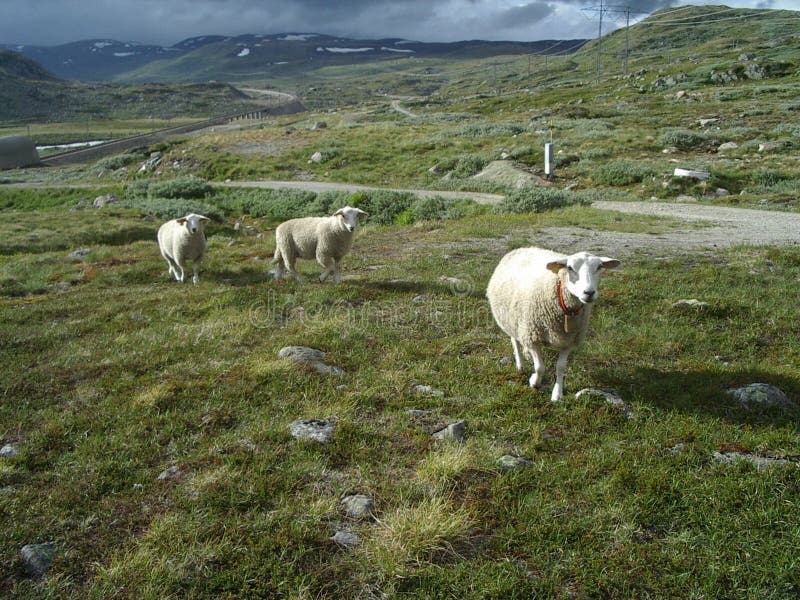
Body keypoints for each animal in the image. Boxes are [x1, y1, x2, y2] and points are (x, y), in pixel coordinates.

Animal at [484, 246, 620, 406]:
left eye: (599, 267)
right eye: (569, 268)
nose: (589, 293)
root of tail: (523, 247)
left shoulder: (568, 341)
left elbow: (560, 368)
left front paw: (557, 393)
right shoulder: (532, 336)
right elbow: (540, 367)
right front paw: (534, 382)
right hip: (512, 320)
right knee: (515, 341)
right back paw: (520, 364)